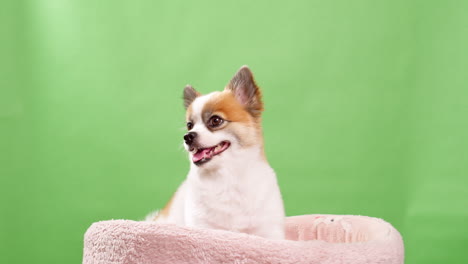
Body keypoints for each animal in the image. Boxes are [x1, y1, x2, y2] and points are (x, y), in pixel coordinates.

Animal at [146, 66, 286, 239]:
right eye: (189, 125)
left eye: (215, 120)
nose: (188, 136)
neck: (227, 177)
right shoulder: (204, 227)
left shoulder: (268, 231)